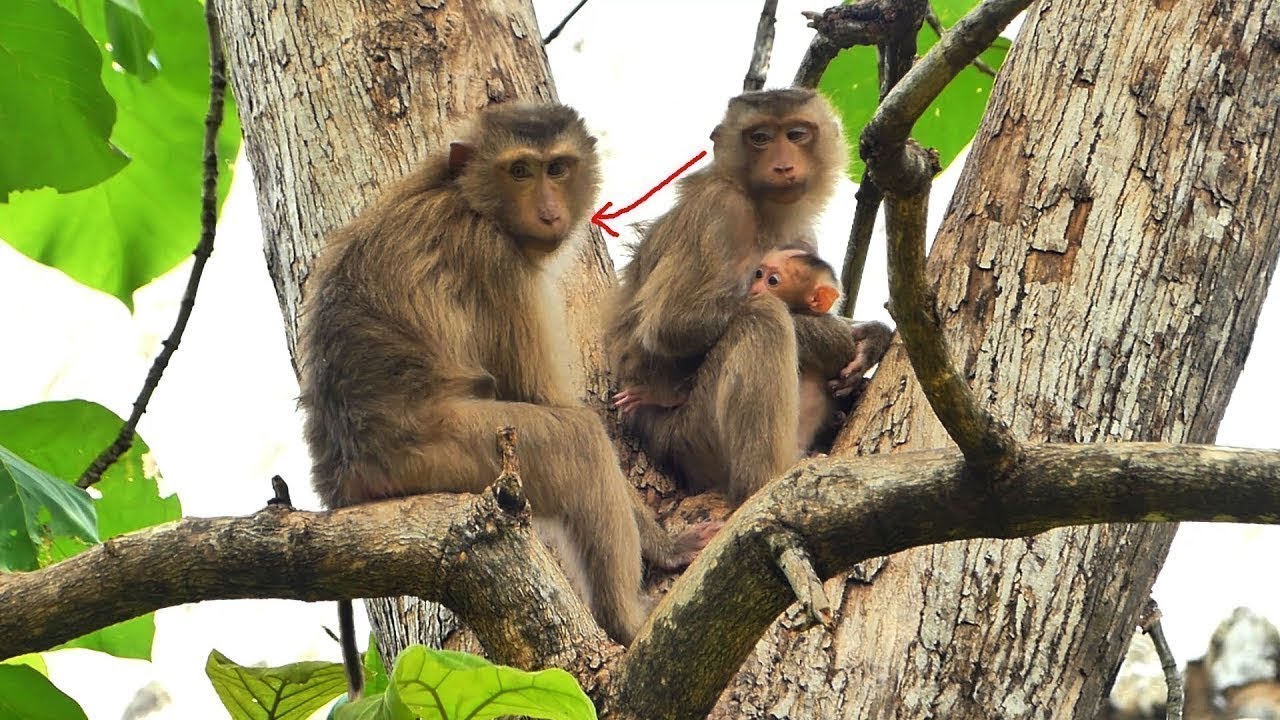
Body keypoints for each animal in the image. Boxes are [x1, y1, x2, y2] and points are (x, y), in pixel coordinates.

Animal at [297, 103, 715, 700]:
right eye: (520, 171)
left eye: (556, 168)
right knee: (578, 443)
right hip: (445, 451)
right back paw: (627, 622)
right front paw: (665, 545)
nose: (548, 211)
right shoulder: (495, 259)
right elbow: (550, 402)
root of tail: (339, 477)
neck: (465, 197)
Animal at [605, 88, 893, 505]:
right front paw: (838, 337)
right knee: (762, 318)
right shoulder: (722, 208)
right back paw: (762, 482)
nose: (783, 165)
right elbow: (673, 327)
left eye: (795, 134)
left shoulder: (801, 237)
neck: (763, 211)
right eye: (760, 138)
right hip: (690, 437)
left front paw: (871, 337)